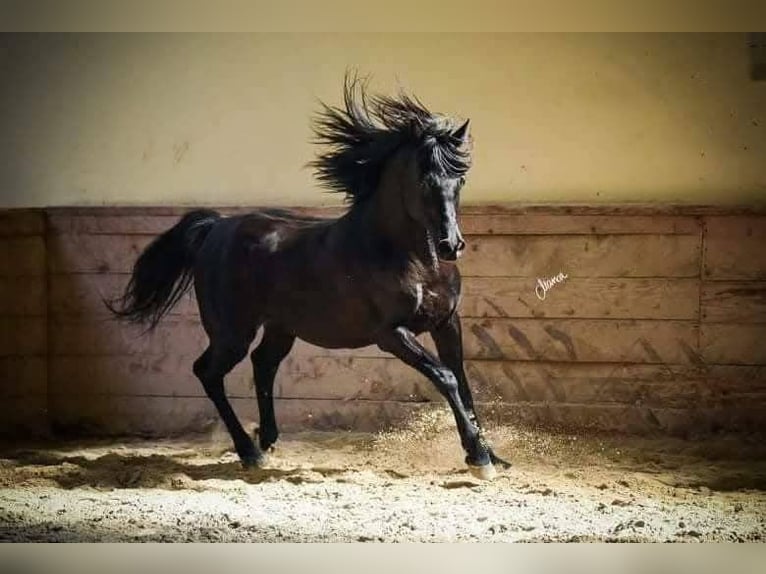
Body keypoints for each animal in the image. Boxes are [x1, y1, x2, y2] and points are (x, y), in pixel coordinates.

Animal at [108, 77, 510, 480]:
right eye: (423, 180)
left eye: (460, 179)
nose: (451, 245)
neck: (413, 260)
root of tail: (216, 227)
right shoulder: (391, 334)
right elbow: (446, 378)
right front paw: (479, 459)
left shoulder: (446, 323)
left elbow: (463, 382)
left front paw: (493, 456)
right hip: (231, 333)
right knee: (207, 372)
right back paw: (249, 451)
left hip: (280, 328)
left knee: (262, 364)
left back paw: (267, 441)